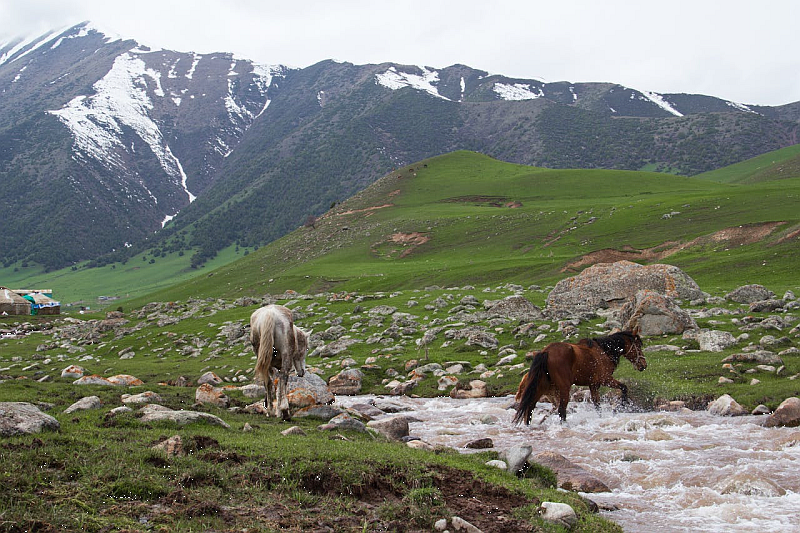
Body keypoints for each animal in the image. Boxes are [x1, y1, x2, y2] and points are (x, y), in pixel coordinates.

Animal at [516, 326, 648, 422]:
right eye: (638, 345)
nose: (643, 365)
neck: (604, 352)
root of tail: (546, 352)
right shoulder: (605, 379)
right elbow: (624, 387)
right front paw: (621, 406)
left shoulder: (593, 384)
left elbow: (597, 405)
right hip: (563, 388)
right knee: (561, 410)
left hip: (543, 387)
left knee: (530, 407)